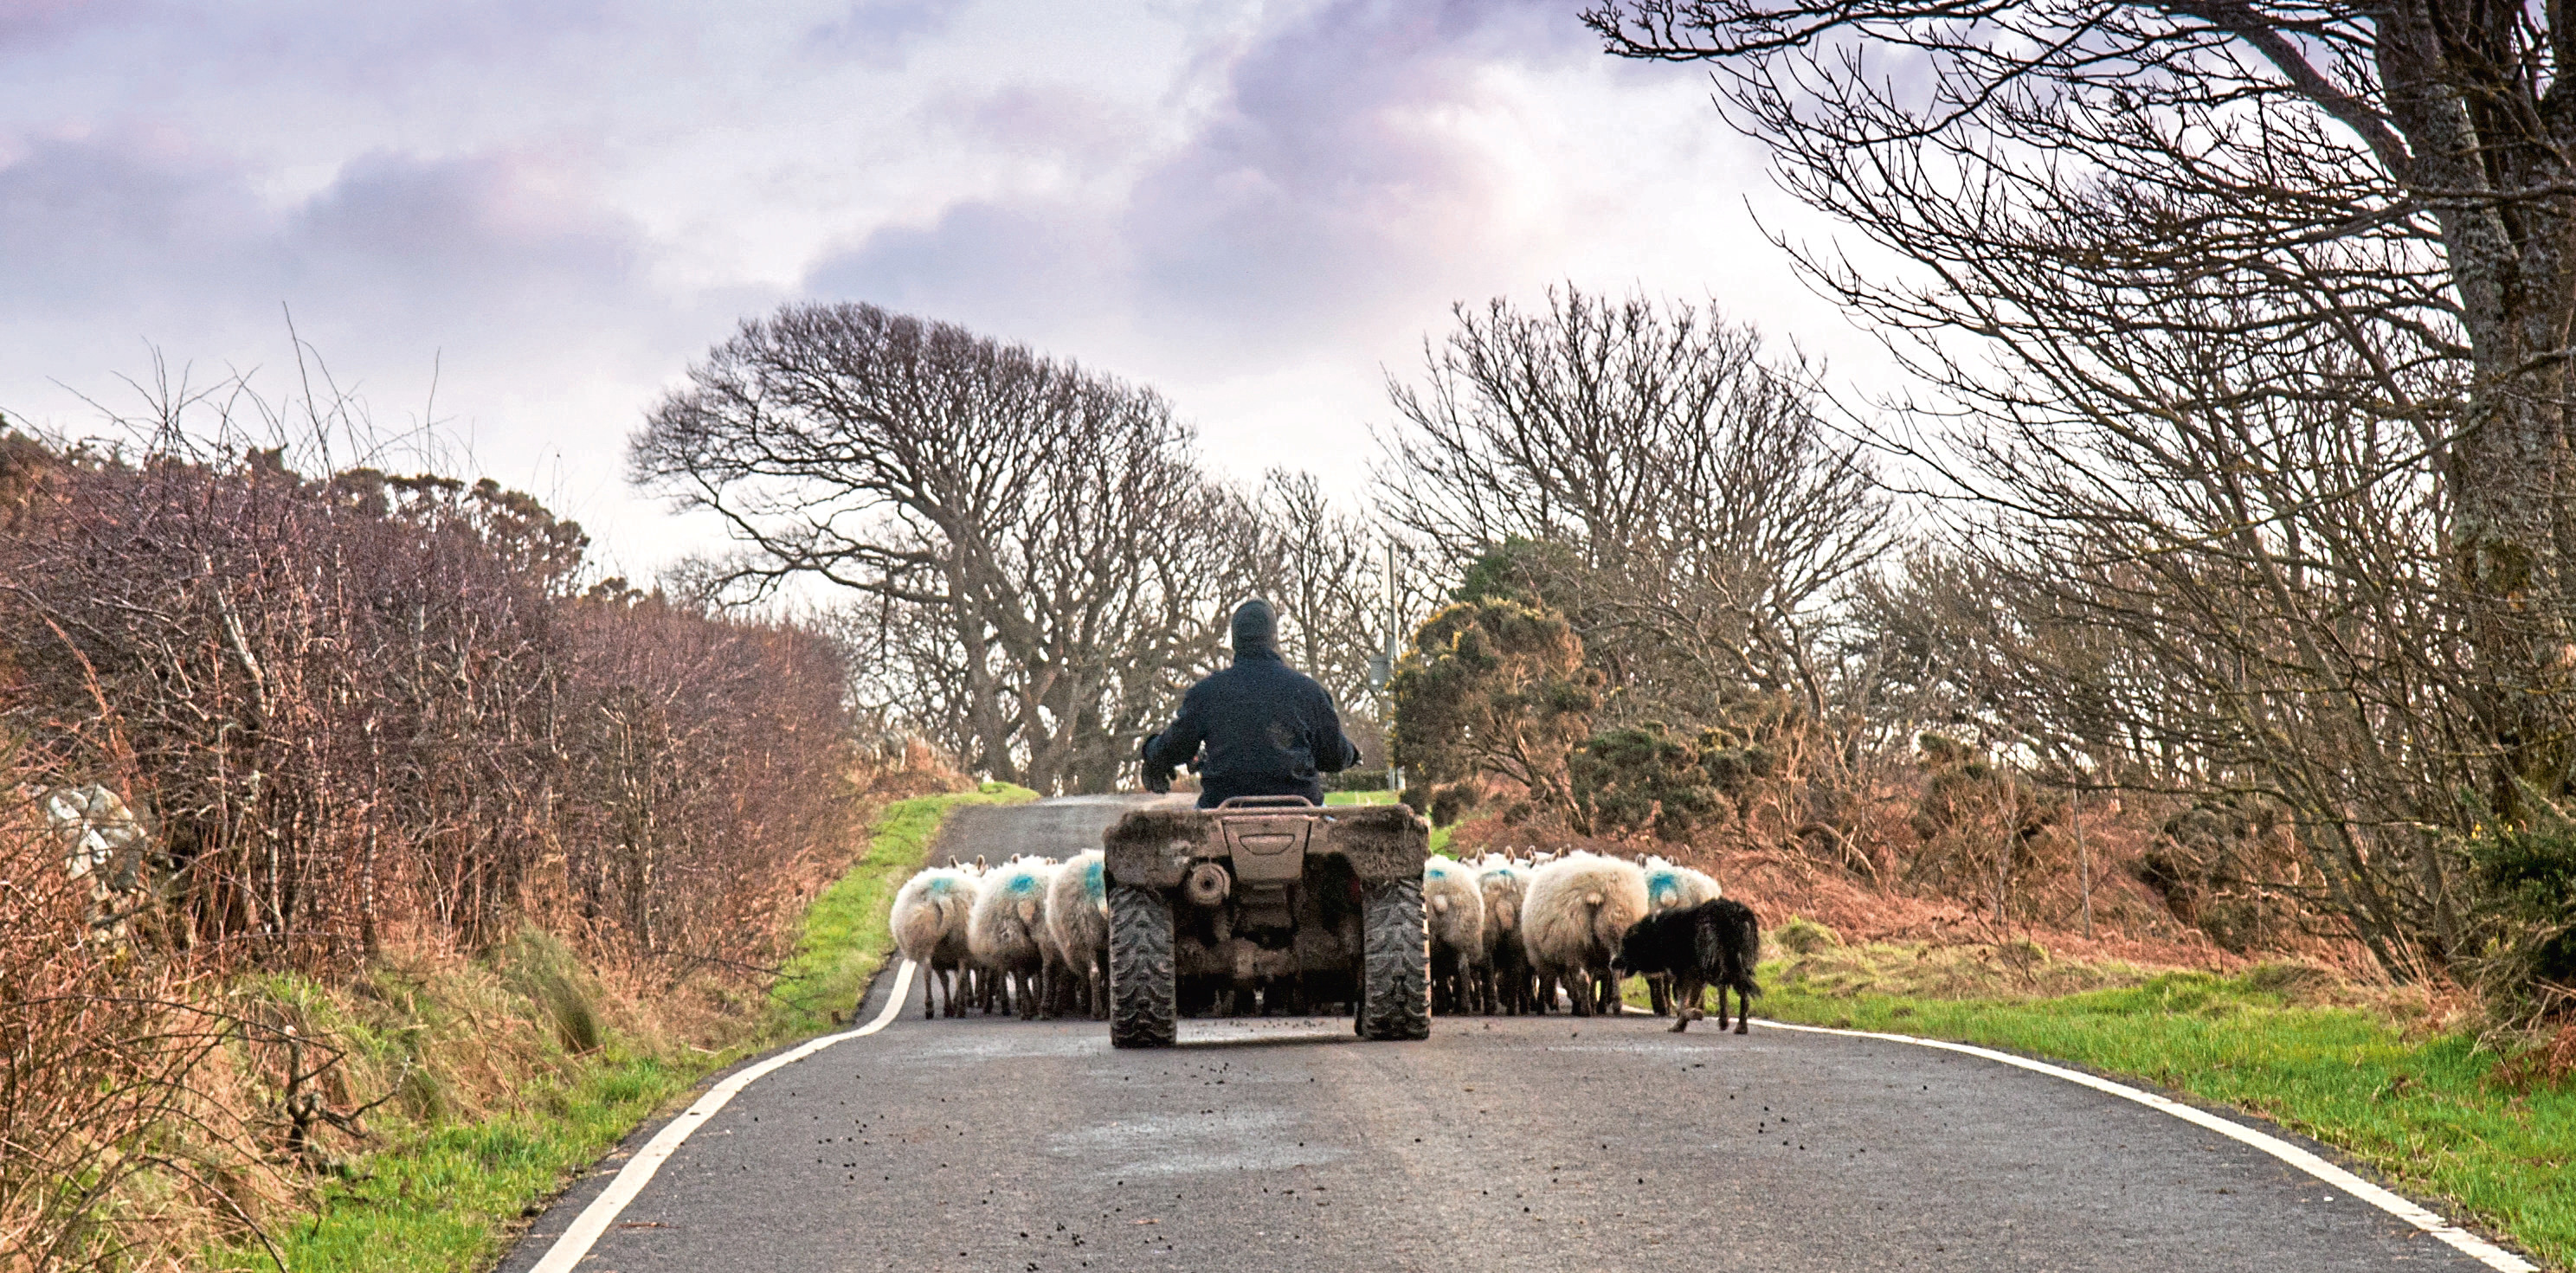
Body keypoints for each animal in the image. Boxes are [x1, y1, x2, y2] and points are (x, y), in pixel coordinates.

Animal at [1046, 850, 1107, 1020]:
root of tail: (1099, 892)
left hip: (1084, 936)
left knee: (1093, 973)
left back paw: (1096, 1011)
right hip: (1090, 937)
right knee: (1097, 973)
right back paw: (1100, 1010)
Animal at [1524, 850, 1648, 1020]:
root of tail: (1597, 891)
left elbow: (1567, 980)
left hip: (1574, 939)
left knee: (1581, 977)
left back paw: (1584, 1009)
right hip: (1617, 929)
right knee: (1614, 968)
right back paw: (1616, 1004)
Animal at [1607, 902, 1751, 1031]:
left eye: (1625, 946)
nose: (1612, 964)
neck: (1655, 934)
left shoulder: (1684, 974)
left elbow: (1682, 1004)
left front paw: (1691, 1016)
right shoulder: (1693, 975)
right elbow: (1687, 1001)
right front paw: (1684, 1021)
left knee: (1730, 989)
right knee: (1741, 993)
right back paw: (1739, 1026)